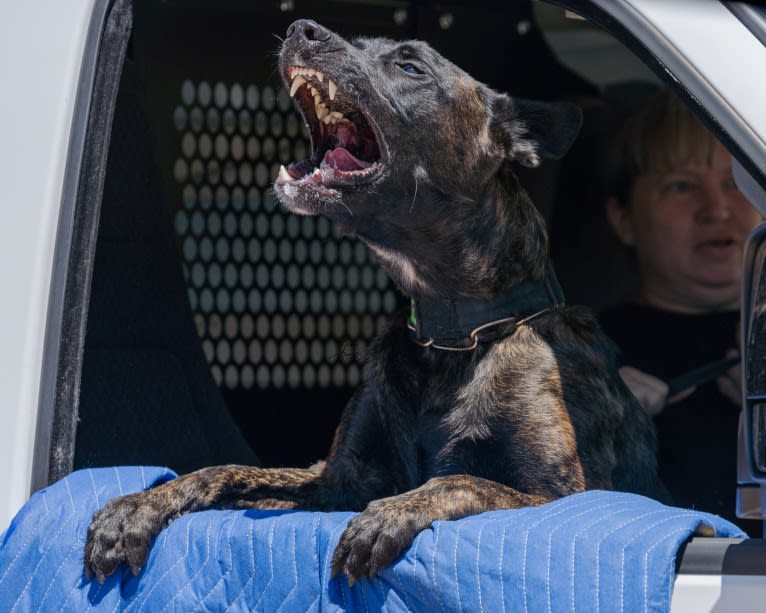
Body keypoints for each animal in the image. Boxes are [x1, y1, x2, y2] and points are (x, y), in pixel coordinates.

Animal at [84, 17, 668, 584]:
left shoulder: (563, 496)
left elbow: (460, 480)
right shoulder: (337, 481)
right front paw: (140, 505)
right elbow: (225, 471)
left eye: (411, 67)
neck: (455, 333)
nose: (300, 29)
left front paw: (389, 514)